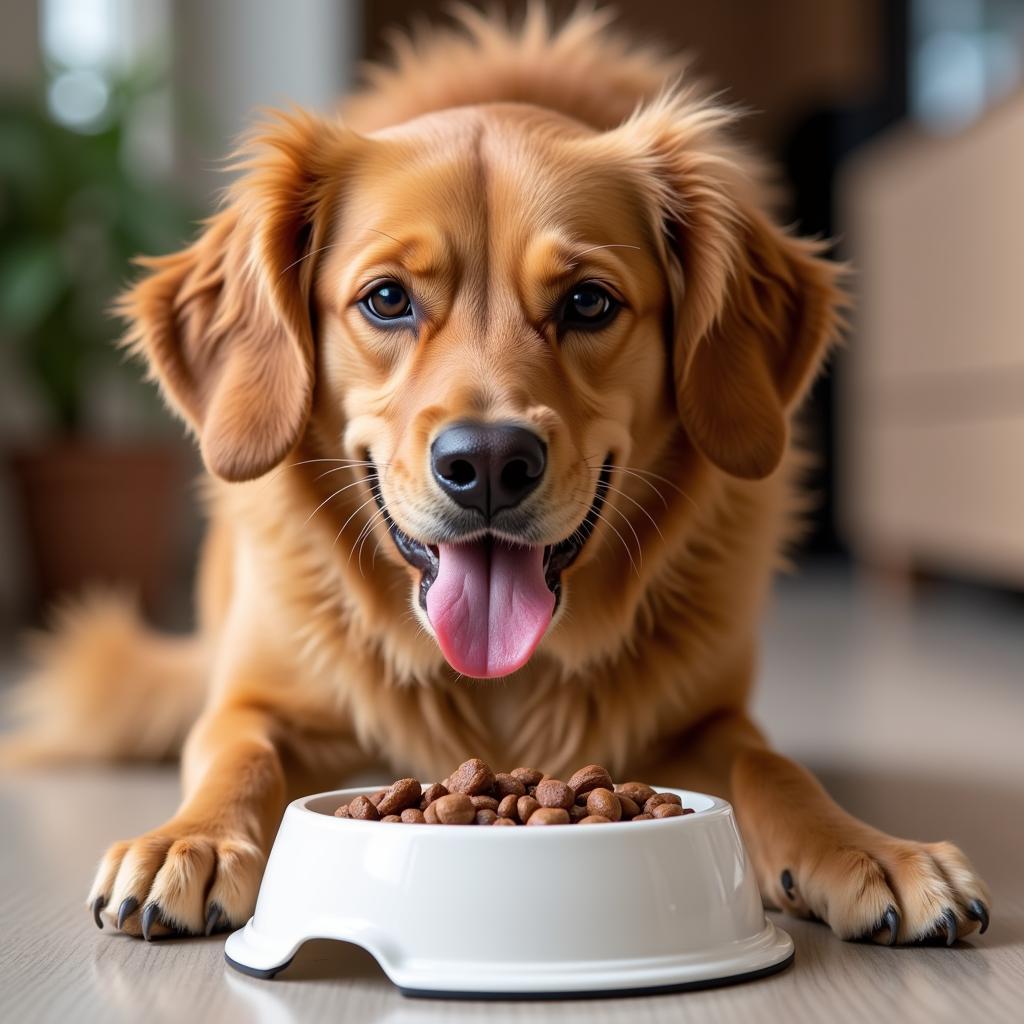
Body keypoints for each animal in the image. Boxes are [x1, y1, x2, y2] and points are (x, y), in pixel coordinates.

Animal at [4, 6, 987, 942]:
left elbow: (774, 768)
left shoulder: (703, 720)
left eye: (588, 301)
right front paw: (192, 840)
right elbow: (237, 756)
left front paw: (868, 847)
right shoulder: (256, 700)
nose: (485, 464)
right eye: (387, 299)